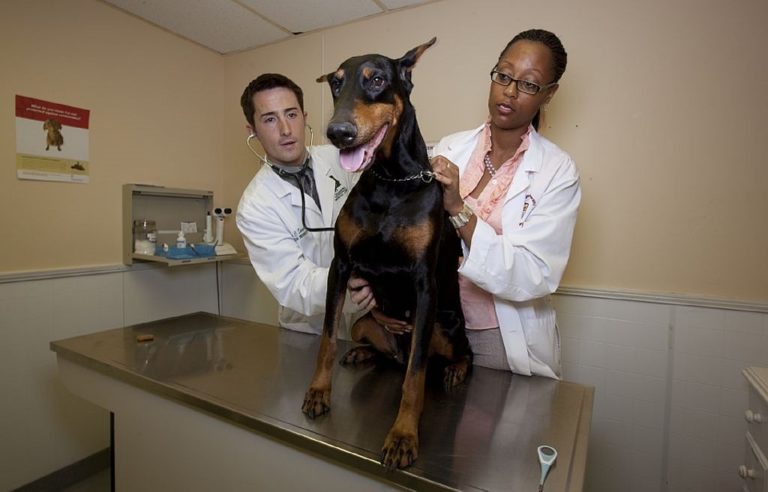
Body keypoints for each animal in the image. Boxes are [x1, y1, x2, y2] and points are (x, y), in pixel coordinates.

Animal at [302, 38, 472, 468]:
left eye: (377, 80)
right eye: (336, 84)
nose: (338, 132)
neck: (393, 179)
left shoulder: (424, 282)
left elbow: (415, 375)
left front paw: (403, 436)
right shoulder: (341, 265)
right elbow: (327, 338)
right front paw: (318, 392)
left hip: (445, 327)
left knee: (450, 356)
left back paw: (455, 370)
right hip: (365, 323)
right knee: (384, 354)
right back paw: (364, 354)